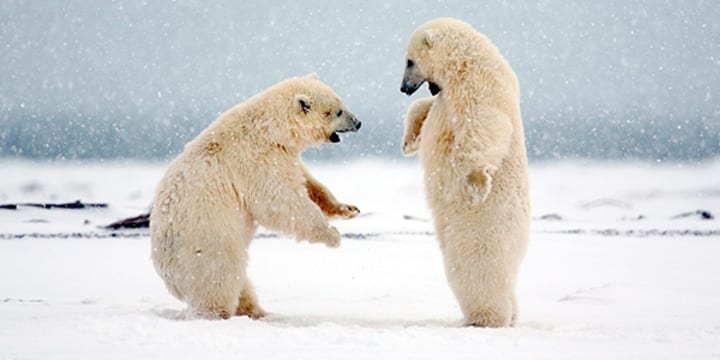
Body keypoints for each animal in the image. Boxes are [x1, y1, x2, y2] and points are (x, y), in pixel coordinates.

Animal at [153, 72, 366, 318]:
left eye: (341, 102)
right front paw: (332, 235)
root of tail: (163, 266)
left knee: (239, 282)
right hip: (205, 242)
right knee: (220, 277)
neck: (269, 129)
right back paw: (221, 313)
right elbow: (282, 203)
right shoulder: (256, 161)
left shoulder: (284, 155)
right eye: (337, 111)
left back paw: (256, 310)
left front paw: (348, 209)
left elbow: (308, 183)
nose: (358, 122)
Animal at [402, 18, 532, 328]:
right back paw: (511, 315)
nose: (403, 88)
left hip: (481, 234)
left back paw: (485, 319)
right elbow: (426, 110)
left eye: (409, 61)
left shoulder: (478, 84)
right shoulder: (446, 92)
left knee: (474, 274)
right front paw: (409, 140)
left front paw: (477, 181)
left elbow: (484, 125)